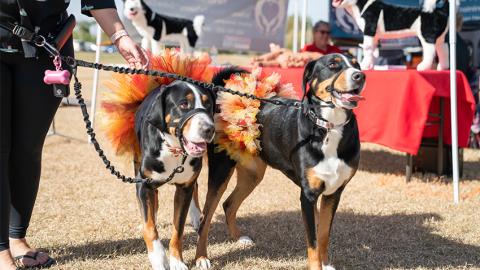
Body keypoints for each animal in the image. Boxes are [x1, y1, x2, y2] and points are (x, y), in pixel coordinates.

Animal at [134, 80, 215, 270]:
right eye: (184, 104)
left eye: (208, 105)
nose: (209, 129)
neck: (174, 150)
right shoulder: (143, 184)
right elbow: (150, 227)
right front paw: (158, 259)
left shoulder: (184, 188)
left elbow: (178, 229)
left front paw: (176, 261)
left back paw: (196, 216)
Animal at [193, 53, 366, 270]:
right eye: (333, 64)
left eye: (357, 64)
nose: (360, 76)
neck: (329, 127)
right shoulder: (308, 196)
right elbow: (313, 241)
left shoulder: (333, 193)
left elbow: (323, 234)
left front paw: (326, 264)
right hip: (220, 171)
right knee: (205, 218)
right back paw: (201, 258)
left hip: (253, 175)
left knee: (228, 204)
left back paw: (238, 238)